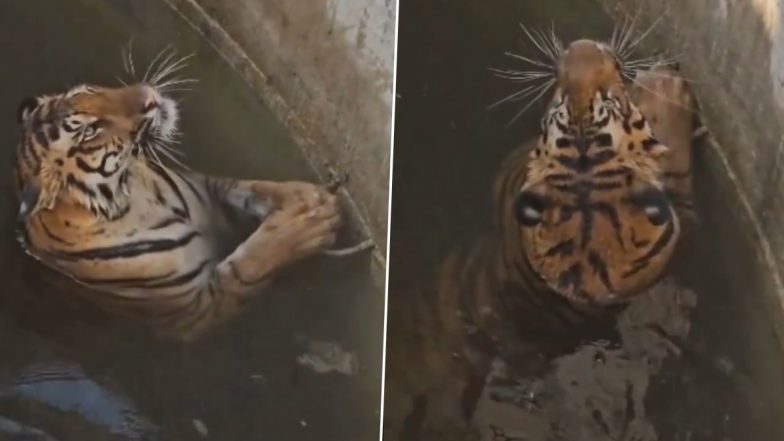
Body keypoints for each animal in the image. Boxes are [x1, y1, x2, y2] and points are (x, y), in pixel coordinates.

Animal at [12, 57, 343, 343]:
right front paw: (311, 225)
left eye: (89, 91)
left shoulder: (208, 190)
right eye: (91, 130)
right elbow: (252, 263)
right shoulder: (197, 309)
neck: (136, 193)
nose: (149, 97)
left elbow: (251, 188)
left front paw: (307, 196)